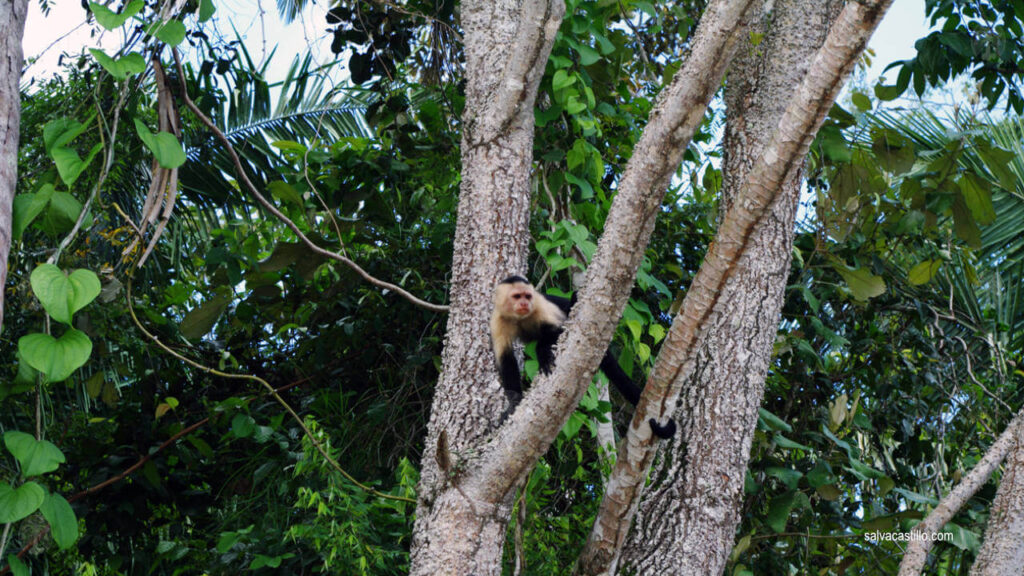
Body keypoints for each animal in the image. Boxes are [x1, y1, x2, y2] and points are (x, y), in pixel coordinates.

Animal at [489, 276, 675, 436]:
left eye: (527, 296)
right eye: (517, 296)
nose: (524, 303)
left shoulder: (540, 306)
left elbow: (560, 328)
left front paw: (542, 355)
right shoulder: (498, 320)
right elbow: (506, 359)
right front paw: (513, 403)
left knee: (574, 299)